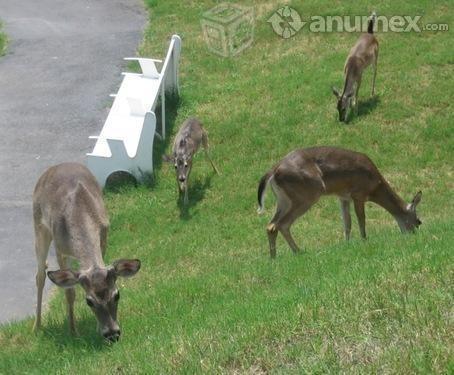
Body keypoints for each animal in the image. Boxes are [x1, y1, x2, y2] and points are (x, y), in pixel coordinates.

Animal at [32, 163, 141, 342]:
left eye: (117, 295)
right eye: (89, 301)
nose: (112, 334)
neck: (80, 212)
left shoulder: (104, 236)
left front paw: (95, 327)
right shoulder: (60, 249)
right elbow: (69, 291)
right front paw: (73, 332)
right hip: (39, 226)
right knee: (40, 276)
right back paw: (37, 326)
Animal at [258, 147, 424, 258]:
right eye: (418, 221)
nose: (413, 236)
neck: (375, 186)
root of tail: (273, 170)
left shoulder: (343, 197)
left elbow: (347, 222)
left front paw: (347, 244)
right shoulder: (358, 193)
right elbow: (361, 219)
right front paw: (364, 240)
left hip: (283, 199)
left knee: (271, 224)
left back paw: (275, 257)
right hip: (307, 193)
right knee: (280, 224)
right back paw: (298, 252)